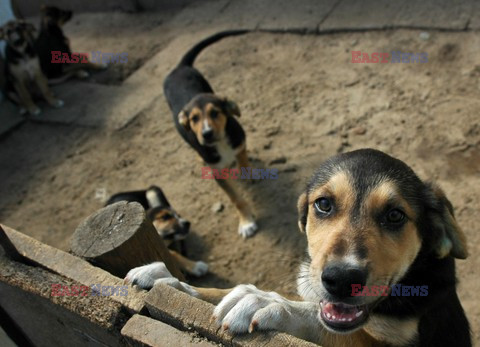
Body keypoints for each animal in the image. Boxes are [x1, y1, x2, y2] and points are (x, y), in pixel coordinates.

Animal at [124, 150, 472, 347]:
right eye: (324, 204)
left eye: (395, 215)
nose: (341, 280)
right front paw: (169, 281)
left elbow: (329, 327)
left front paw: (268, 303)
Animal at [163, 29, 258, 239]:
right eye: (194, 119)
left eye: (215, 112)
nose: (206, 134)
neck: (221, 142)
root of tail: (178, 68)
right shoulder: (217, 173)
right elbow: (236, 199)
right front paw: (246, 223)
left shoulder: (239, 141)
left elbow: (243, 158)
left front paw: (248, 172)